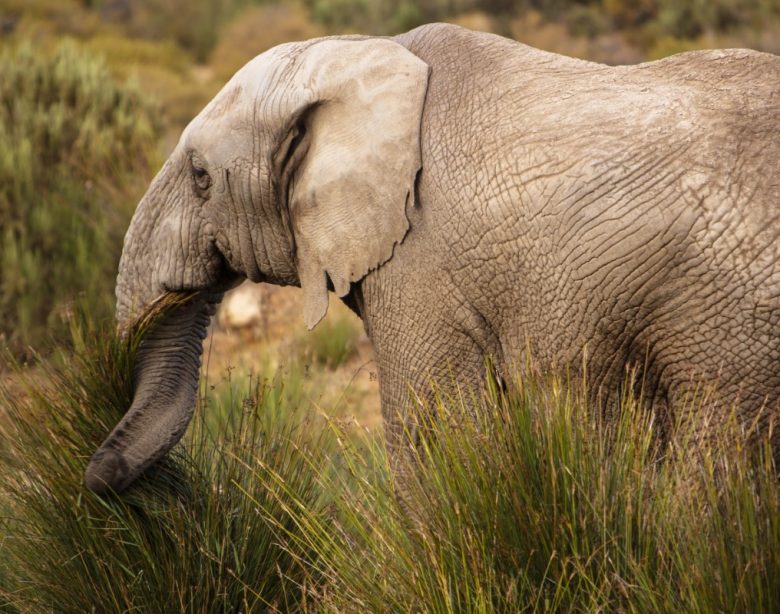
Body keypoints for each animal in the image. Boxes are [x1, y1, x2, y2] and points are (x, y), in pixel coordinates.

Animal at [87, 22, 780, 496]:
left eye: (201, 177)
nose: (100, 479)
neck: (363, 57)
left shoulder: (418, 260)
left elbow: (434, 435)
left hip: (733, 315)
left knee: (718, 460)